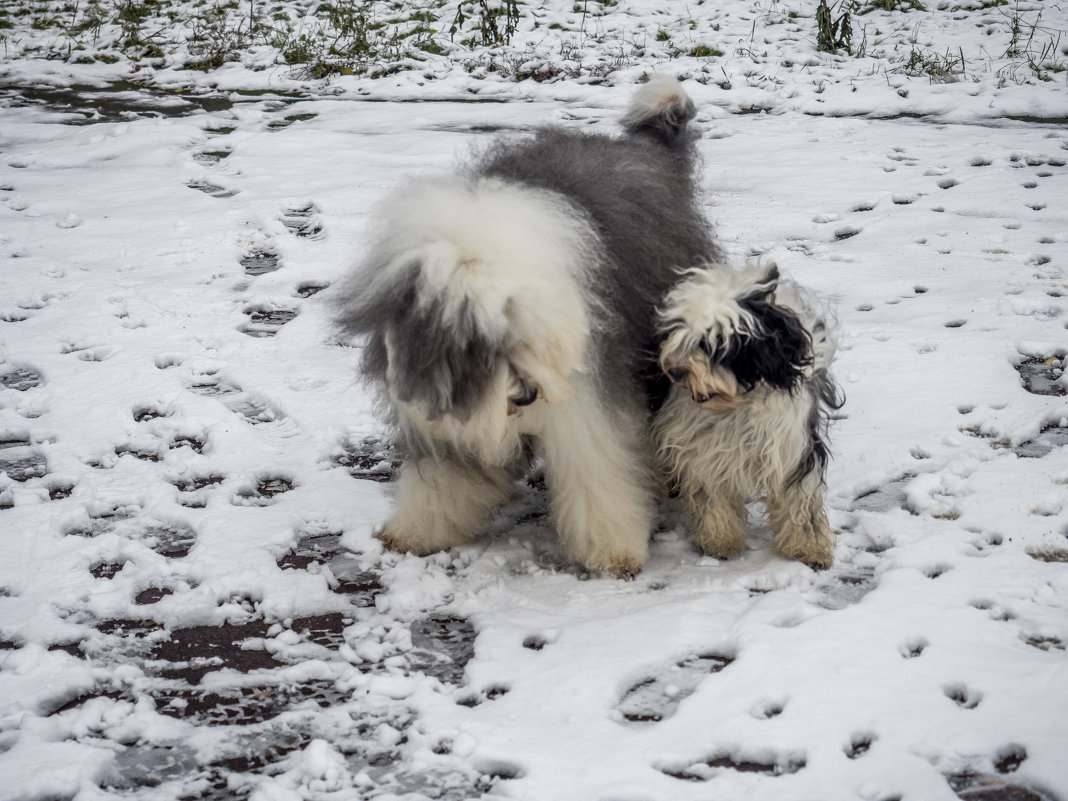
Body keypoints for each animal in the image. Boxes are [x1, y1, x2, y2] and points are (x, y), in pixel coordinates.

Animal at [333, 78, 717, 576]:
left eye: (526, 332)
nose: (527, 396)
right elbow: (445, 477)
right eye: (480, 344)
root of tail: (646, 151)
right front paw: (419, 532)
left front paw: (614, 552)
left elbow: (597, 473)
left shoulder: (585, 401)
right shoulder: (434, 407)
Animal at [649, 260, 841, 568]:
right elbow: (711, 493)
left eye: (715, 344)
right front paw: (720, 540)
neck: (736, 403)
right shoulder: (703, 445)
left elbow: (800, 499)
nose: (675, 371)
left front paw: (809, 547)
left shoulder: (792, 445)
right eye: (679, 332)